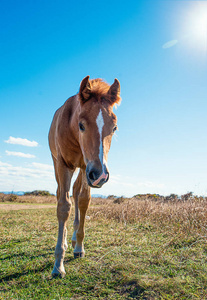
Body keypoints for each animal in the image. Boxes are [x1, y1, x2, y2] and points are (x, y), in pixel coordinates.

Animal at [48, 76, 121, 278]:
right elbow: (63, 206)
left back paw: (73, 239)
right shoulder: (64, 165)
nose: (101, 175)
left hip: (84, 170)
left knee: (76, 191)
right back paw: (66, 241)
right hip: (63, 165)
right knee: (61, 193)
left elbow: (83, 201)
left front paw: (79, 247)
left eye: (114, 128)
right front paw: (58, 265)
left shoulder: (86, 167)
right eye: (81, 125)